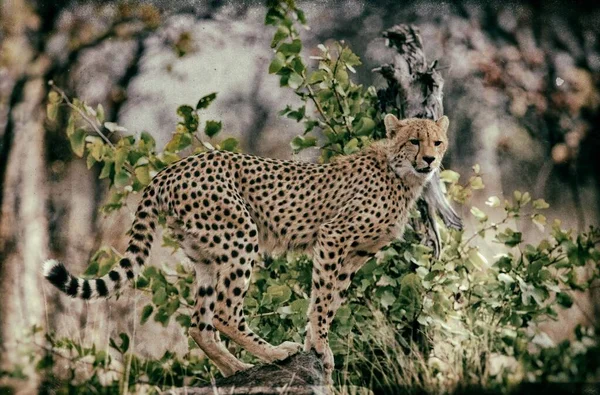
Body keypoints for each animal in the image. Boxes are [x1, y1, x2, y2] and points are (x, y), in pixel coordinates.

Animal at [44, 114, 448, 380]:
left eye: (437, 141)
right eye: (414, 141)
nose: (430, 159)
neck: (401, 174)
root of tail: (171, 169)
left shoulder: (354, 255)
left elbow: (330, 300)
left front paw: (318, 346)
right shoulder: (333, 237)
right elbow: (322, 300)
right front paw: (318, 347)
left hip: (206, 255)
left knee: (200, 324)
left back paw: (239, 368)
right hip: (241, 235)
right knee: (224, 312)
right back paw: (274, 353)